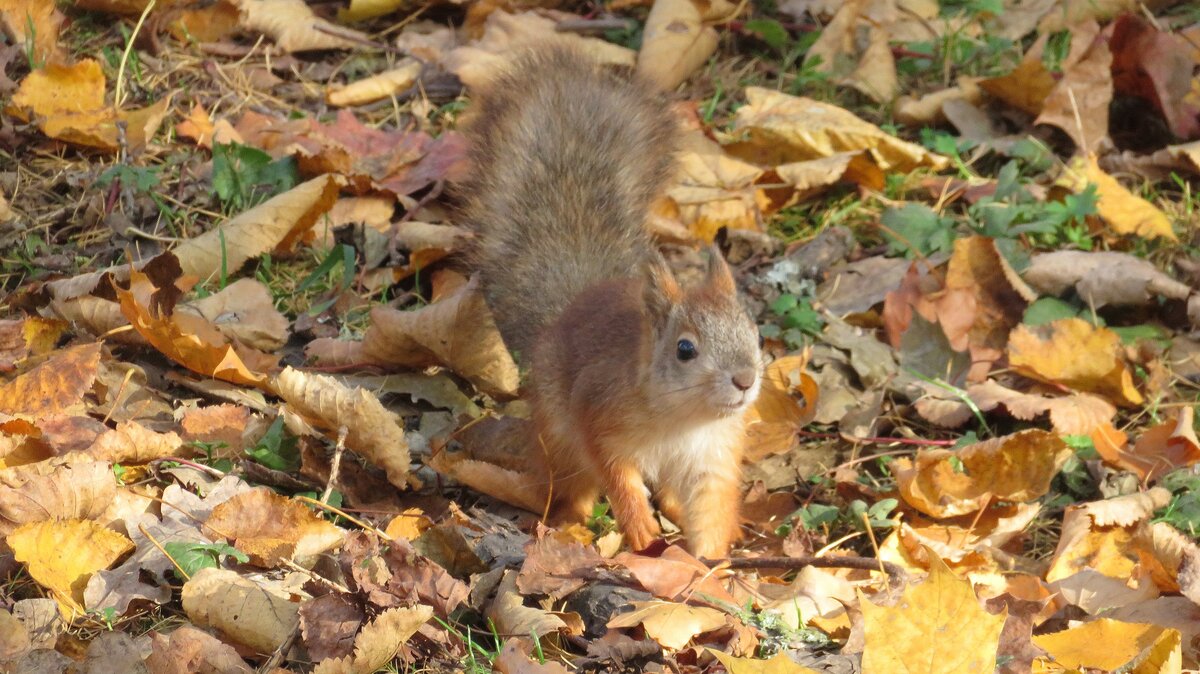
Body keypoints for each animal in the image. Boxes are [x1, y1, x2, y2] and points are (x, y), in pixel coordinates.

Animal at [456, 43, 758, 556]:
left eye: (755, 334)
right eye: (685, 349)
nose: (745, 379)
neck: (684, 419)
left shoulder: (713, 456)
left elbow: (711, 507)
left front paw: (711, 562)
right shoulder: (599, 414)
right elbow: (617, 475)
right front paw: (640, 528)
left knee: (672, 493)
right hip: (560, 437)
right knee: (573, 484)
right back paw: (567, 523)